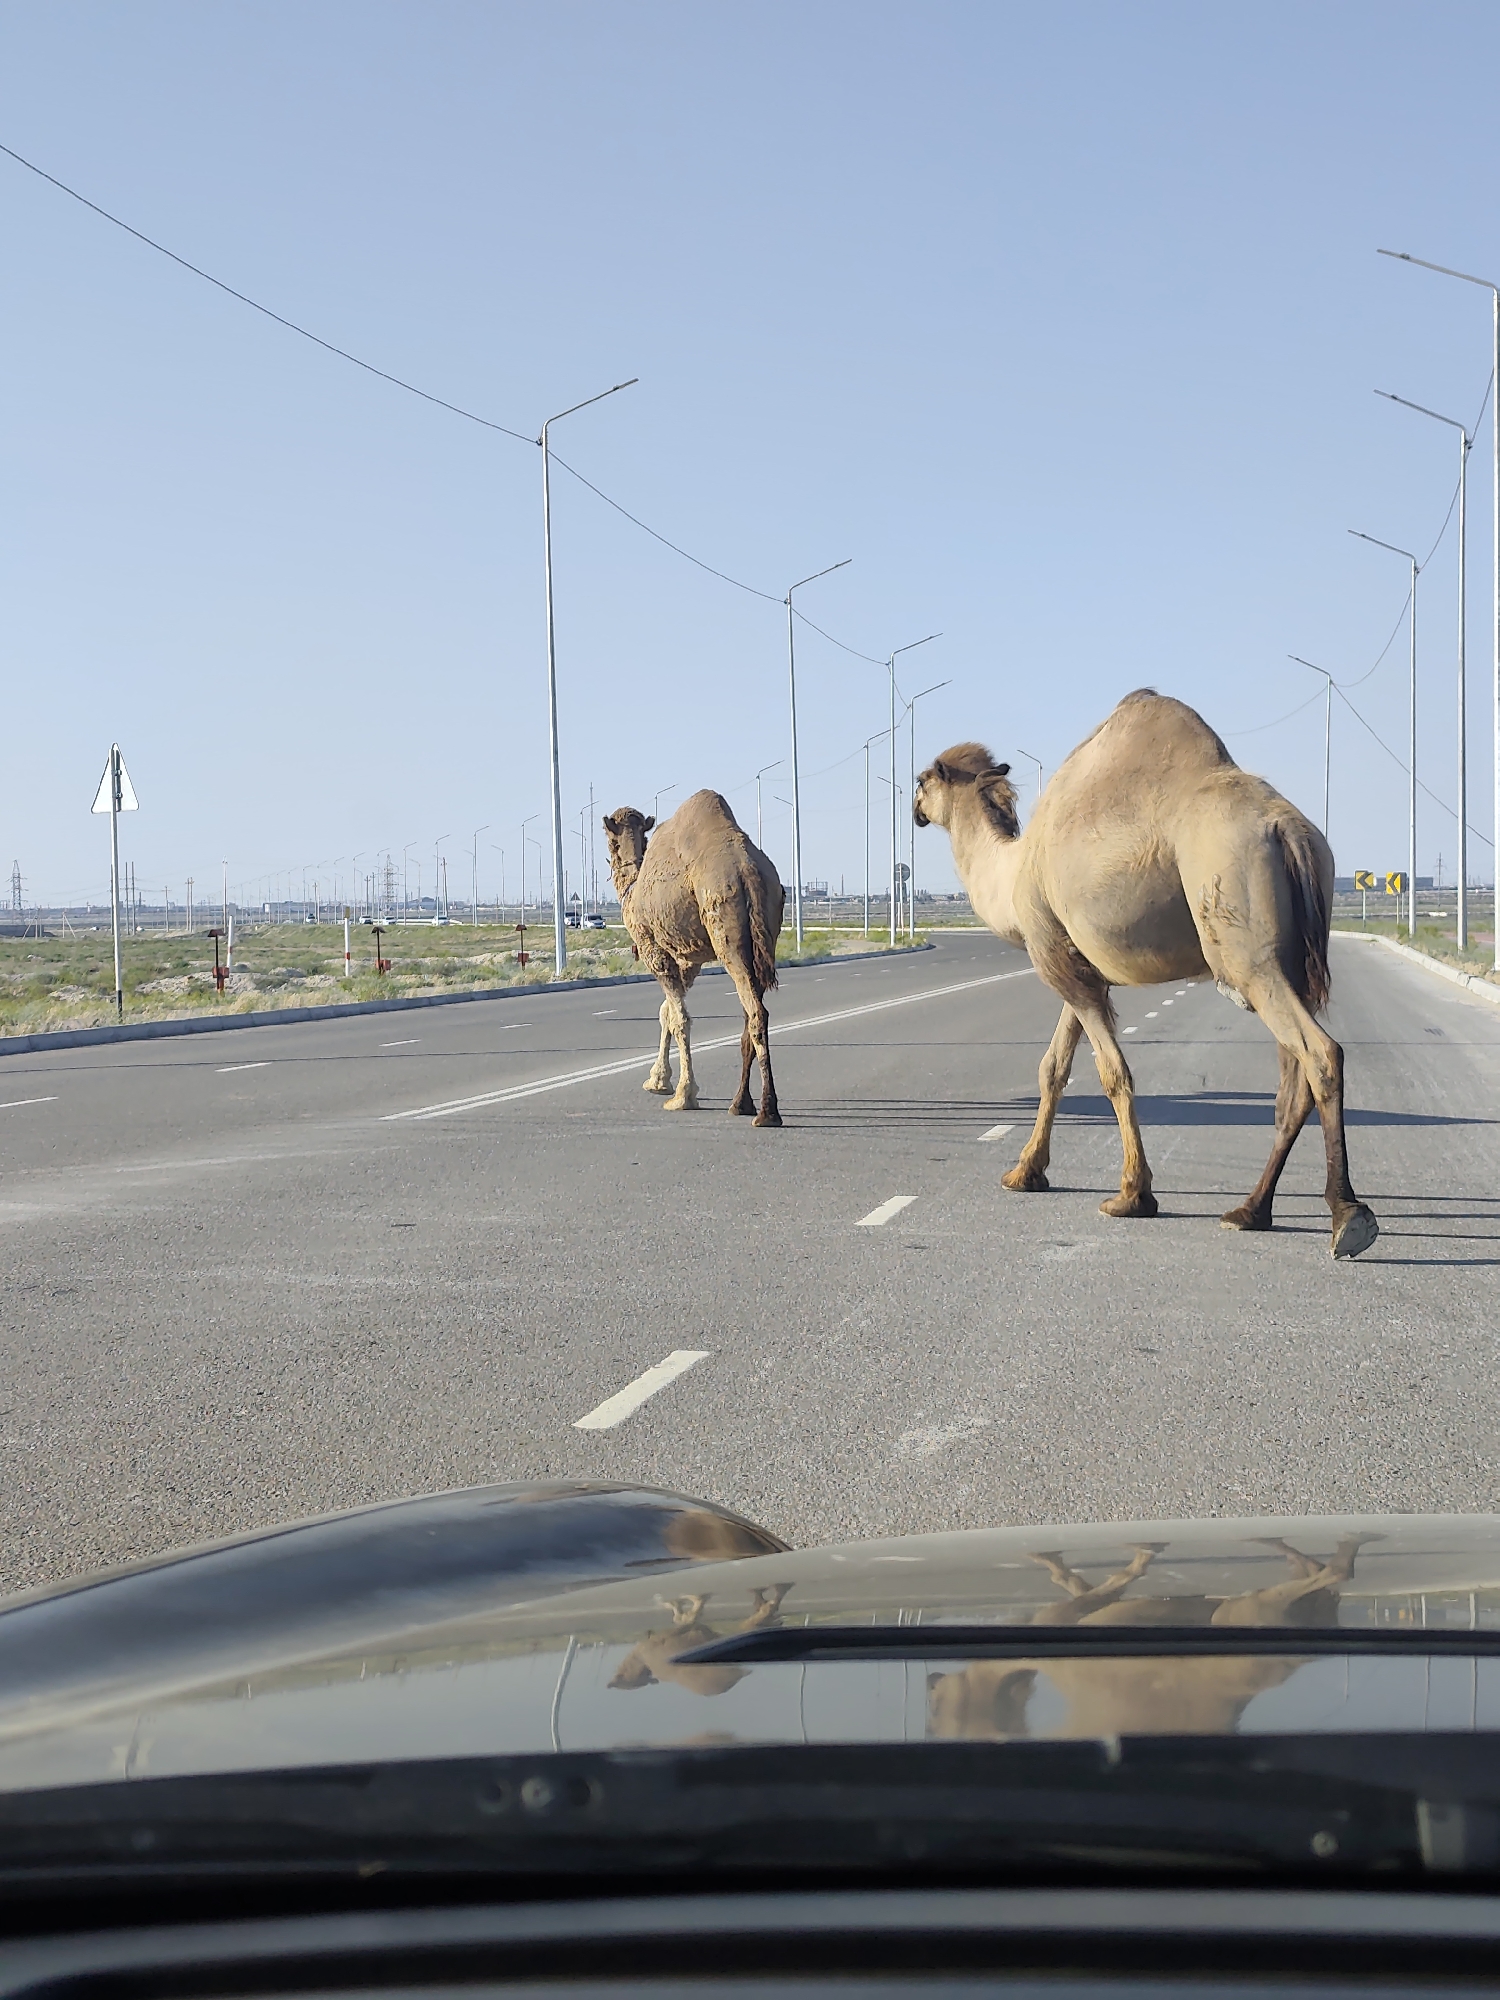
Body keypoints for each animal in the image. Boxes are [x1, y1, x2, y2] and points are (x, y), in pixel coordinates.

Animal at [603, 791, 784, 1125]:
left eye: (610, 839)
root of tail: (748, 871)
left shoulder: (653, 949)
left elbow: (679, 1018)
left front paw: (683, 1095)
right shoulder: (689, 959)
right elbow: (666, 1012)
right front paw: (658, 1080)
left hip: (724, 927)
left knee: (756, 1013)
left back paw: (767, 1112)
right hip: (766, 935)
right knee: (751, 1011)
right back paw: (740, 1103)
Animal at [913, 690, 1378, 1258]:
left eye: (922, 780)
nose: (912, 809)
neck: (1011, 872)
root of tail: (1286, 828)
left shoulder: (1054, 957)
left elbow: (1112, 1072)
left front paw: (1132, 1195)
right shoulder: (1079, 964)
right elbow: (1053, 1067)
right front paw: (1025, 1173)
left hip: (1245, 951)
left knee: (1321, 1053)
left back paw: (1347, 1217)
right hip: (1293, 959)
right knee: (1293, 1083)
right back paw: (1250, 1210)